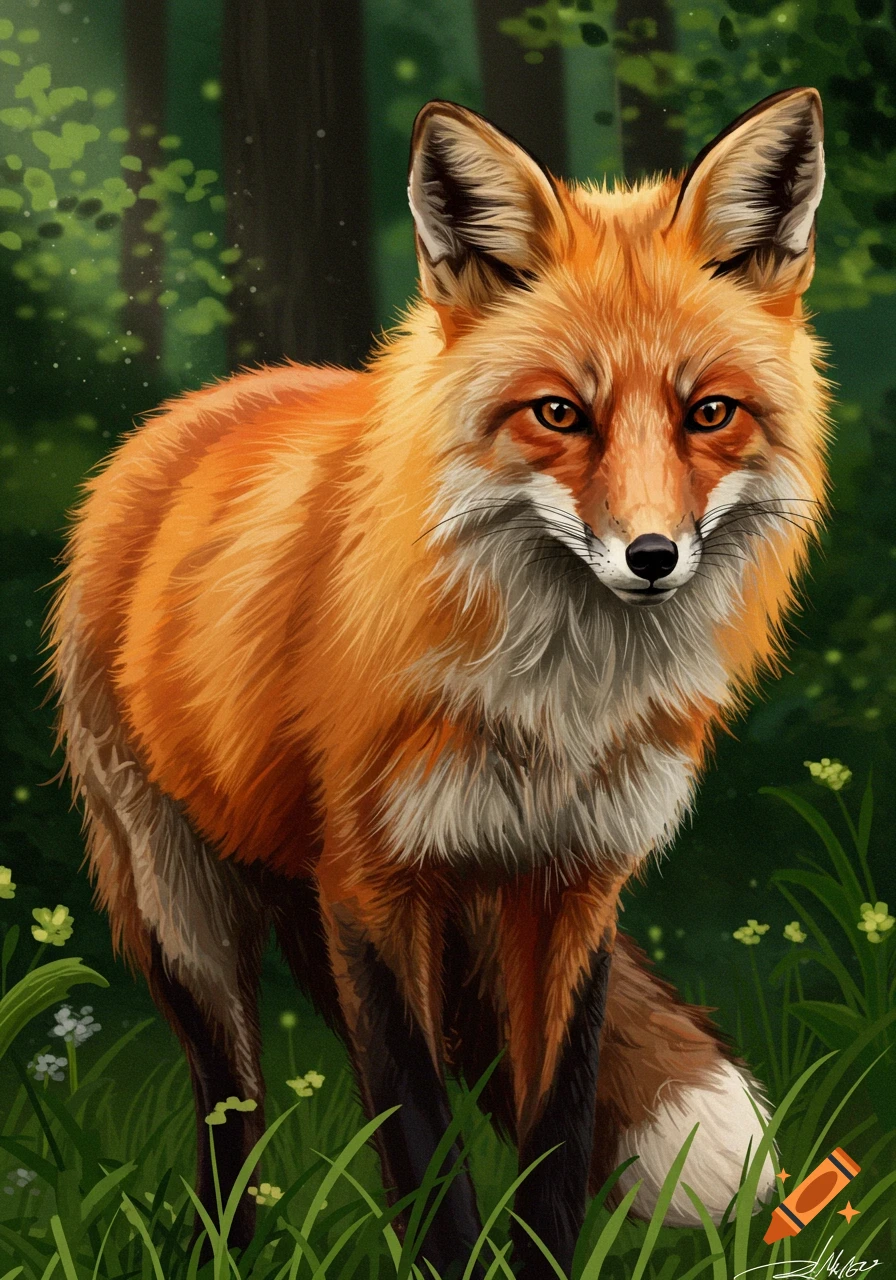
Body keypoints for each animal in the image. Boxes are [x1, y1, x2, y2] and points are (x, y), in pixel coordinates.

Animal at [48, 87, 829, 1278]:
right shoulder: (373, 886)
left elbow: (556, 1130)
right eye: (558, 413)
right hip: (185, 911)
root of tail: (199, 407)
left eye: (709, 412)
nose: (651, 557)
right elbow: (420, 1140)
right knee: (233, 1109)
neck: (555, 710)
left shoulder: (572, 884)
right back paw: (223, 1247)